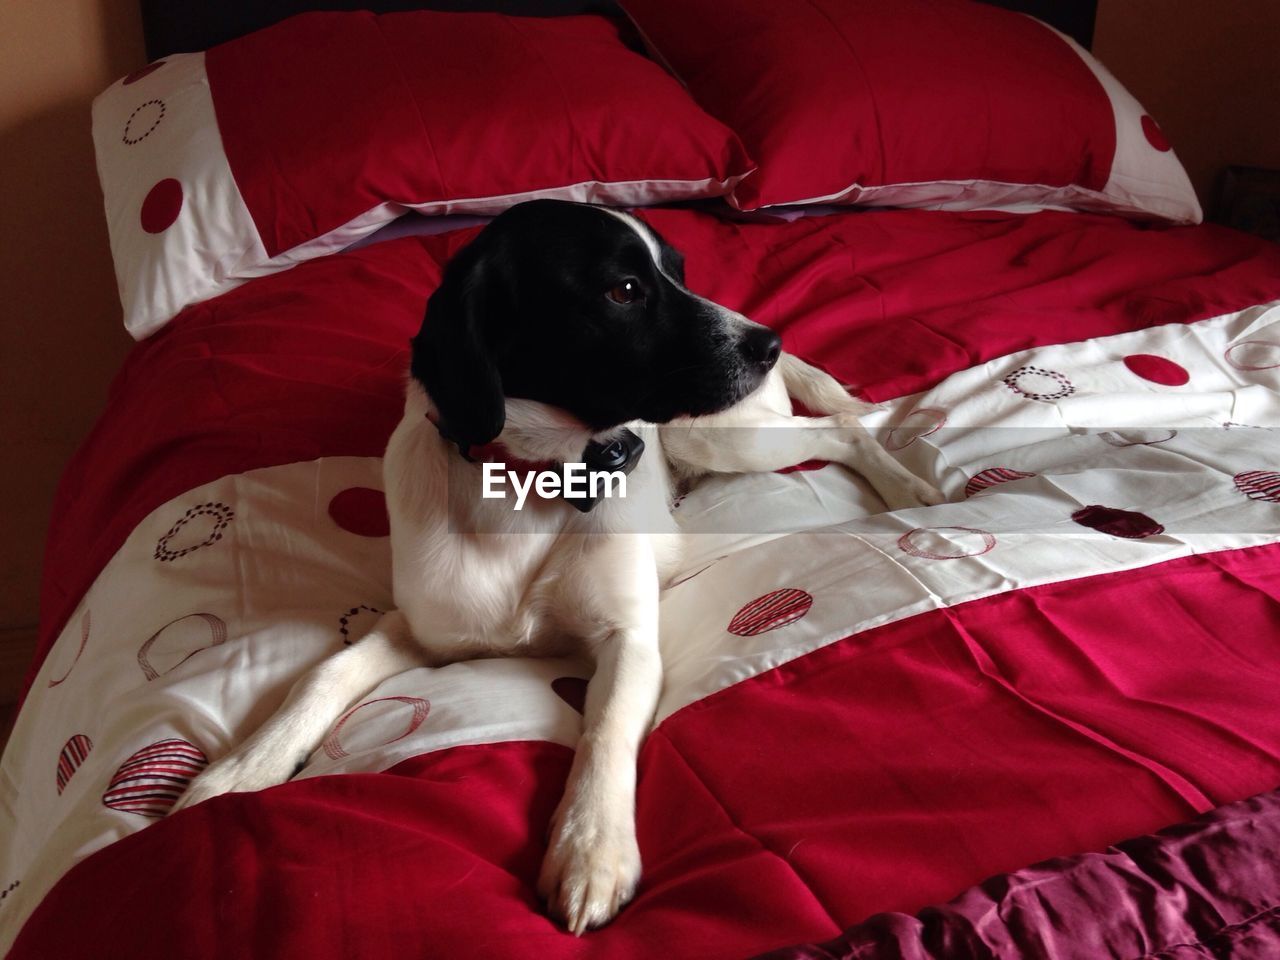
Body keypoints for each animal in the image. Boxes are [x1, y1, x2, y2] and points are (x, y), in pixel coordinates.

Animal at [172, 200, 942, 931]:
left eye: (679, 272)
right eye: (624, 290)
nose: (769, 341)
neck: (532, 484)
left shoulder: (629, 640)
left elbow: (604, 732)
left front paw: (591, 847)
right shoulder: (421, 631)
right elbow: (323, 674)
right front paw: (244, 766)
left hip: (724, 437)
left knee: (838, 429)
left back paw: (909, 488)